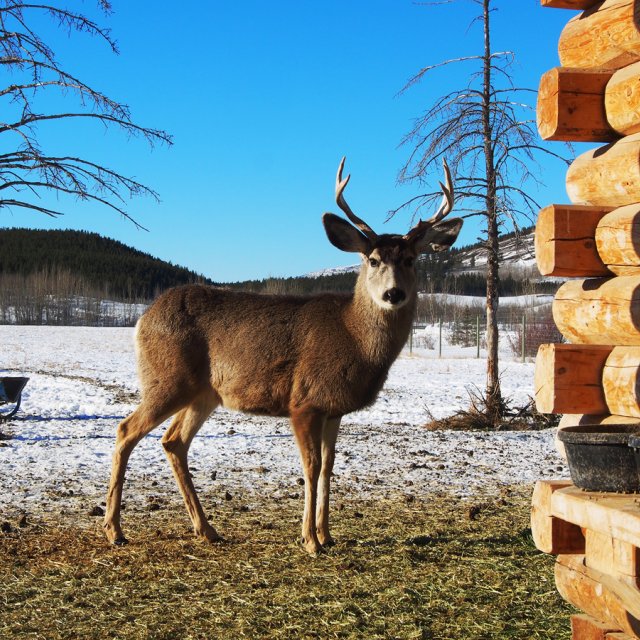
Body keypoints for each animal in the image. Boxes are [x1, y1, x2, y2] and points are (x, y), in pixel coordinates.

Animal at [106, 159, 464, 556]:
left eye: (412, 260)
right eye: (372, 260)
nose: (393, 293)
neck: (352, 336)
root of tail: (142, 319)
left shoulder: (333, 408)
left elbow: (328, 467)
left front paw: (327, 534)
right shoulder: (303, 401)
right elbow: (311, 465)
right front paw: (310, 540)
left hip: (204, 393)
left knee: (173, 442)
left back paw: (207, 529)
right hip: (168, 380)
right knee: (125, 430)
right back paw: (115, 530)